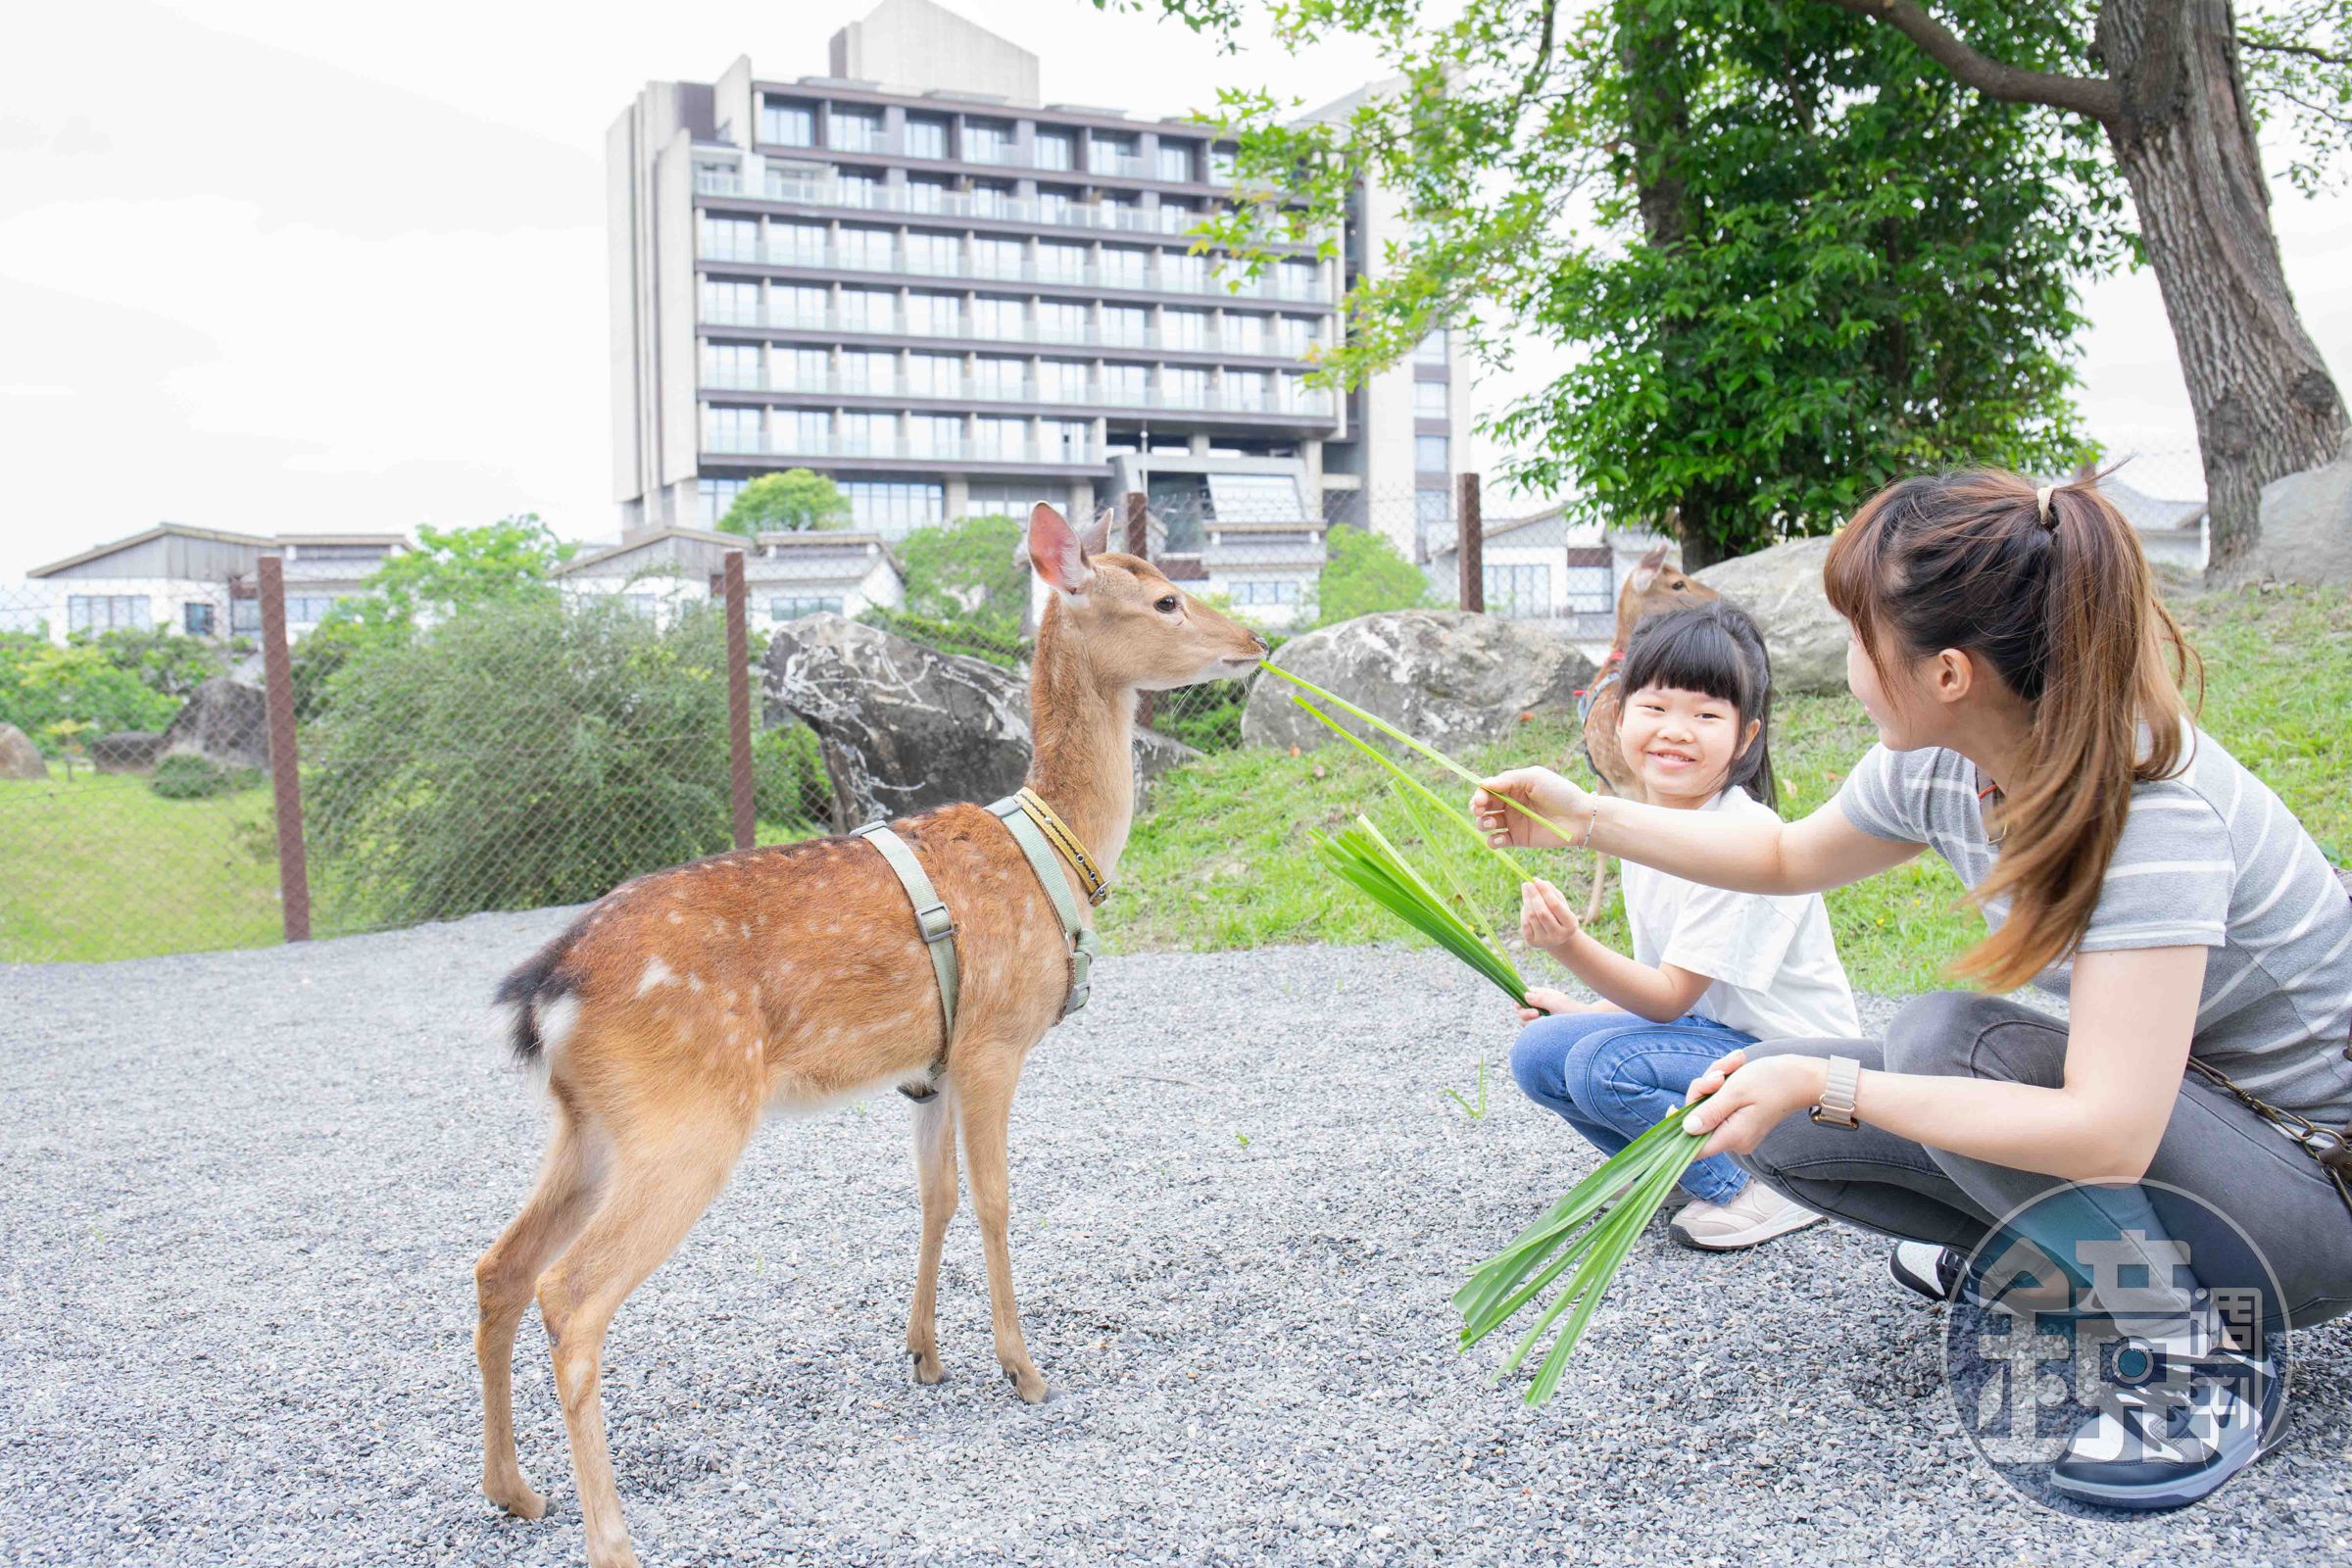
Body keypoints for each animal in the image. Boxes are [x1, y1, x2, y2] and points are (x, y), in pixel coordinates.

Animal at [472, 503, 1267, 1568]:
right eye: (1166, 597)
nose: (1253, 641)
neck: (1058, 852)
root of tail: (548, 987)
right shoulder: (992, 1040)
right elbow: (995, 1201)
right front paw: (1022, 1368)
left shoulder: (928, 1067)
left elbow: (935, 1197)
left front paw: (925, 1353)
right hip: (687, 1118)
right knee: (571, 1293)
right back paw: (611, 1537)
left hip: (588, 1121)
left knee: (500, 1267)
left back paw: (514, 1491)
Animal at [1574, 542, 1719, 922]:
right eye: (1678, 583)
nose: (1717, 597)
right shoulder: (1608, 779)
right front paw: (1592, 913)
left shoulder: (1607, 778)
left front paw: (1591, 913)